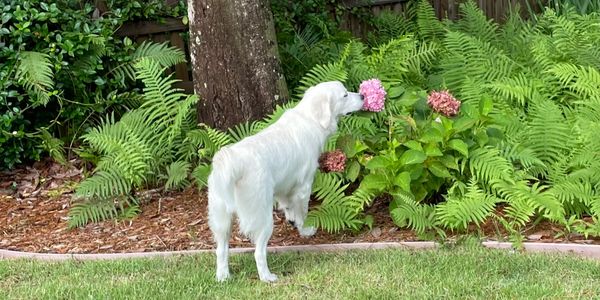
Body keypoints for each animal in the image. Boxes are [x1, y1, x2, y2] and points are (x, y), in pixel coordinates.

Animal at [209, 81, 364, 282]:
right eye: (345, 95)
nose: (362, 96)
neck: (310, 119)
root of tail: (235, 161)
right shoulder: (304, 186)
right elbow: (303, 212)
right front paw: (305, 230)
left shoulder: (284, 186)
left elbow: (288, 206)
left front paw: (291, 220)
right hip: (263, 218)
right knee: (258, 252)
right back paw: (267, 277)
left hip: (221, 218)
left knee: (221, 250)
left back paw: (223, 277)